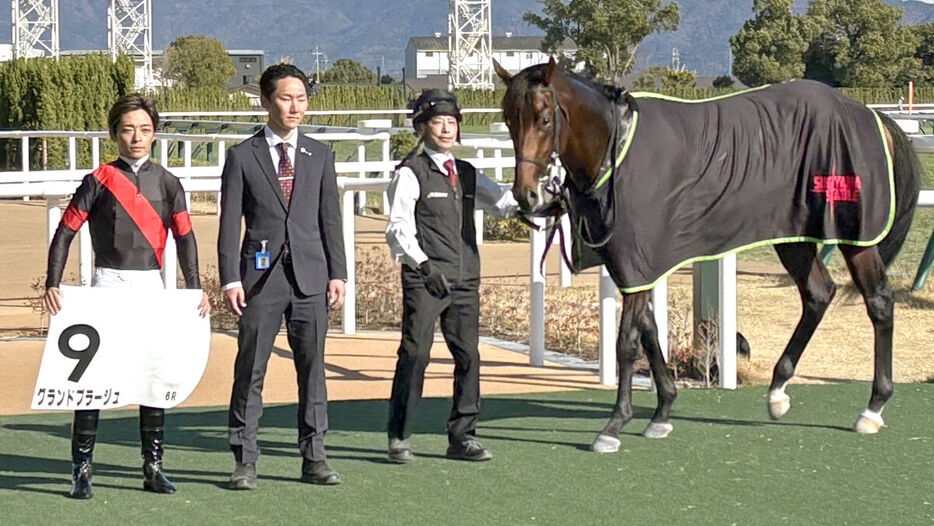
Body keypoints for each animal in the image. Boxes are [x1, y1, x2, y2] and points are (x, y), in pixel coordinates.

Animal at [498, 56, 920, 454]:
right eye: (507, 119)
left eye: (544, 118)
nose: (525, 194)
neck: (616, 151)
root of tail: (871, 115)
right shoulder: (634, 267)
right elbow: (651, 331)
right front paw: (662, 412)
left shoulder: (637, 265)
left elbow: (627, 343)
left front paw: (615, 425)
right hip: (792, 235)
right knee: (818, 294)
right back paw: (778, 392)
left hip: (855, 235)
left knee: (879, 301)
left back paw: (873, 407)